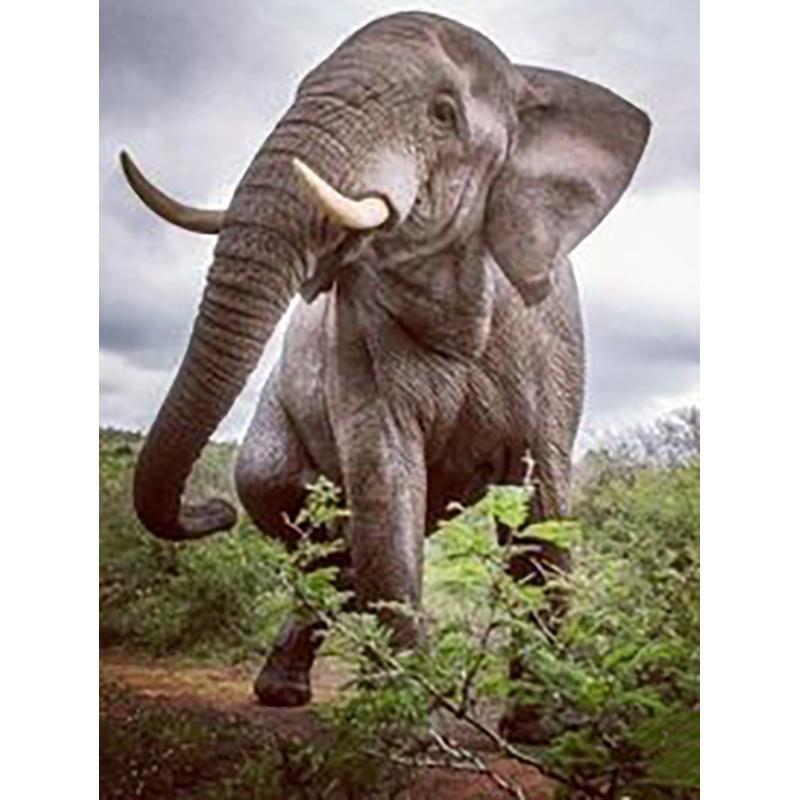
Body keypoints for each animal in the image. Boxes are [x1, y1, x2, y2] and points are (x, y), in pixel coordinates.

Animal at [120, 11, 649, 734]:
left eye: (443, 114)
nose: (210, 513)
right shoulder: (356, 334)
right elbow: (384, 485)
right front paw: (405, 722)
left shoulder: (554, 339)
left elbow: (542, 507)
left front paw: (538, 730)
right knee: (288, 503)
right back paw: (293, 686)